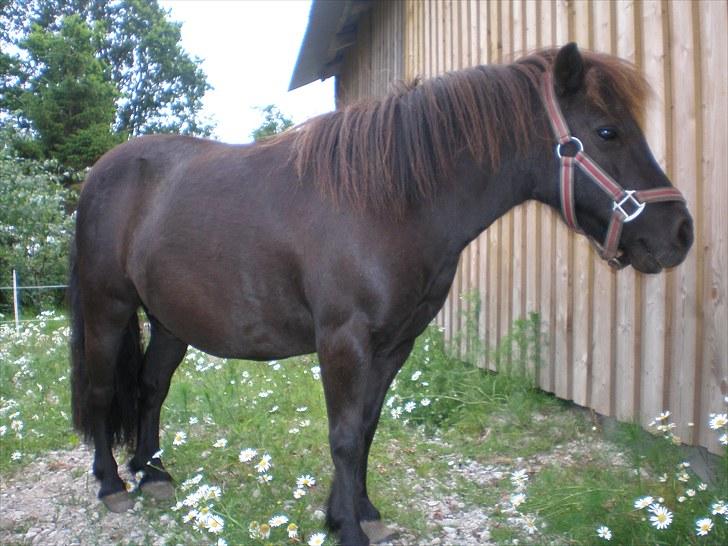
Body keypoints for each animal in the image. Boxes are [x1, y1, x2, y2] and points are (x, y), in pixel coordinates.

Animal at [69, 43, 693, 546]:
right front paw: (346, 528)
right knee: (101, 390)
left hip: (170, 321)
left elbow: (366, 428)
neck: (390, 202)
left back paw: (153, 474)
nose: (679, 233)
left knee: (150, 387)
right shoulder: (343, 341)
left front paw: (359, 513)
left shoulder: (395, 344)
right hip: (107, 308)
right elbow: (345, 436)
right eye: (608, 132)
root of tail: (103, 170)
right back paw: (112, 484)